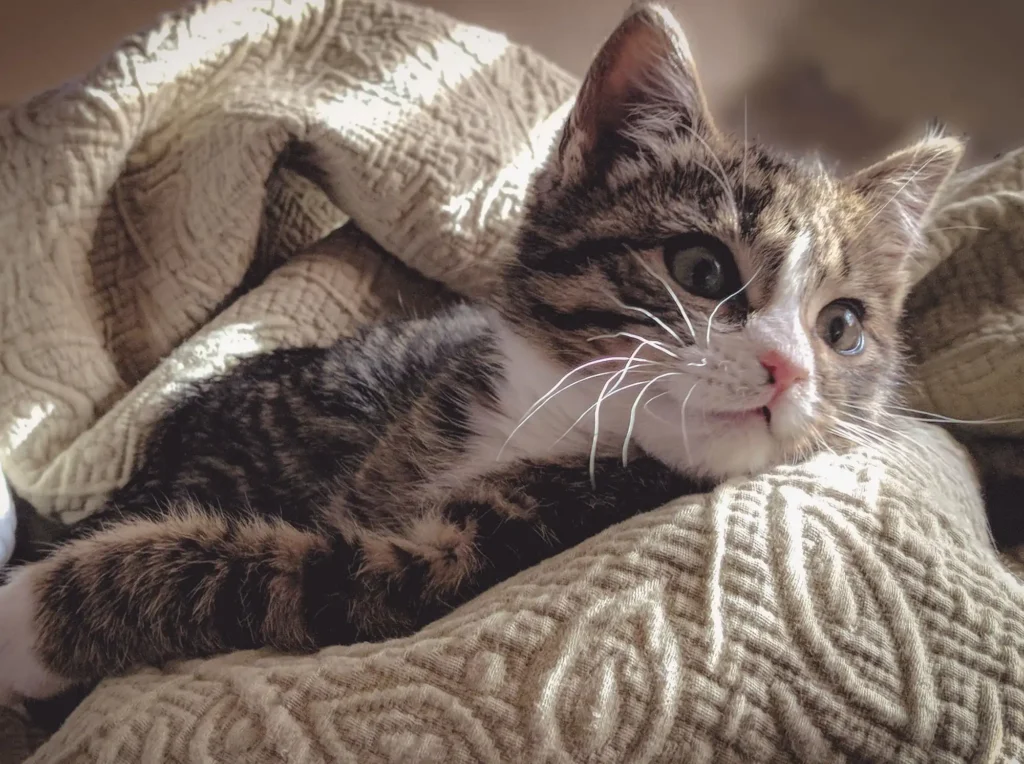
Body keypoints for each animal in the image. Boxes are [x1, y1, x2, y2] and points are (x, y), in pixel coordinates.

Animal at [0, 1, 958, 700]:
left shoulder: (465, 562)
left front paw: (23, 624)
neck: (555, 415)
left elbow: (276, 574)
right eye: (700, 267)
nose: (787, 369)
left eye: (842, 328)